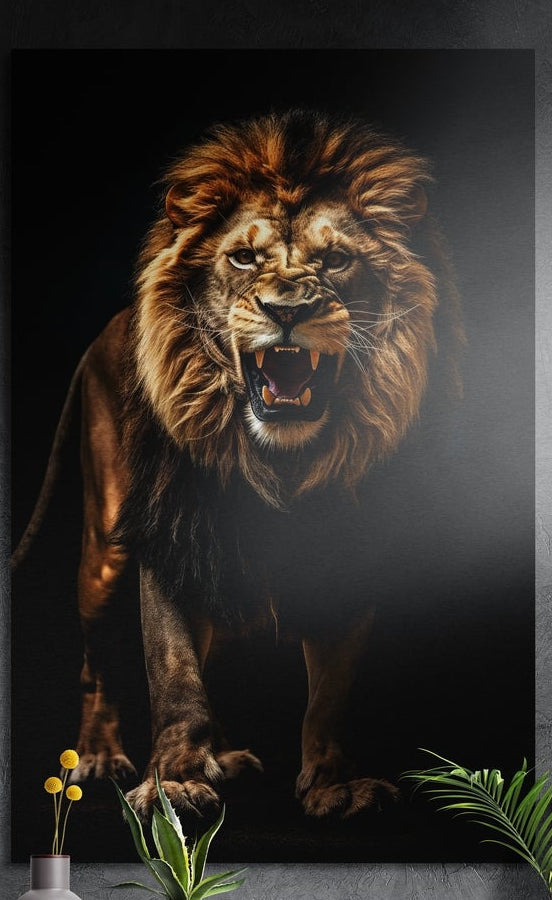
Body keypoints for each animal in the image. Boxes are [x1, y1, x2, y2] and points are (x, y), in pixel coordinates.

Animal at [12, 108, 464, 824]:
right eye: (244, 257)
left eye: (337, 260)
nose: (288, 310)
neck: (281, 464)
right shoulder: (166, 535)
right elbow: (173, 671)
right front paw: (170, 785)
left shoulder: (352, 546)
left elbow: (332, 687)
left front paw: (336, 785)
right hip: (106, 549)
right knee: (96, 663)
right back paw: (101, 757)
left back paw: (221, 757)